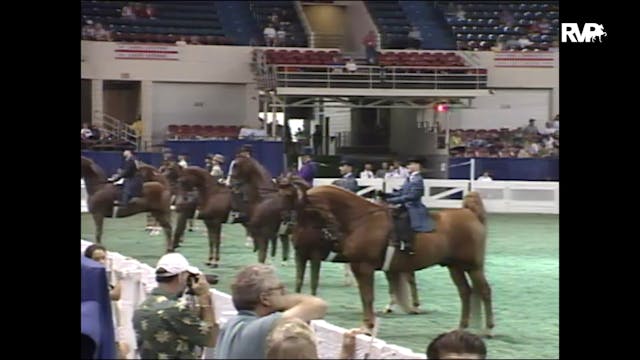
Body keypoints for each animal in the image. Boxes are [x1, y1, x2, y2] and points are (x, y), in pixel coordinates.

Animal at [294, 186, 490, 334]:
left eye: (308, 210)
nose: (299, 235)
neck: (362, 220)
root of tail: (471, 213)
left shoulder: (364, 267)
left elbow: (368, 297)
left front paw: (368, 327)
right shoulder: (359, 267)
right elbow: (365, 296)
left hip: (473, 267)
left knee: (484, 291)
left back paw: (488, 330)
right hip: (455, 267)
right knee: (465, 292)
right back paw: (461, 328)